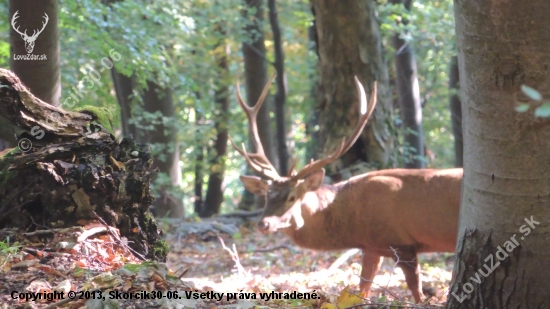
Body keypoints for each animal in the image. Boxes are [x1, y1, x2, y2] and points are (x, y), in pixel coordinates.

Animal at [231, 76, 464, 302]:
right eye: (267, 196)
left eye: (292, 197)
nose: (264, 223)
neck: (353, 221)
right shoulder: (371, 248)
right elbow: (362, 289)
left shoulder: (403, 243)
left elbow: (417, 294)